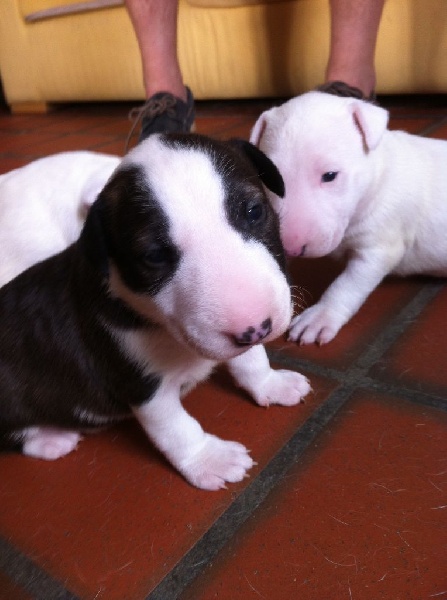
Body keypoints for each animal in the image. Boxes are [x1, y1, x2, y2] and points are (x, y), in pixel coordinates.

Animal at [252, 88, 447, 342]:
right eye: (270, 180)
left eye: (330, 175)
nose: (291, 247)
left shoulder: (380, 247)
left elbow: (347, 285)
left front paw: (320, 316)